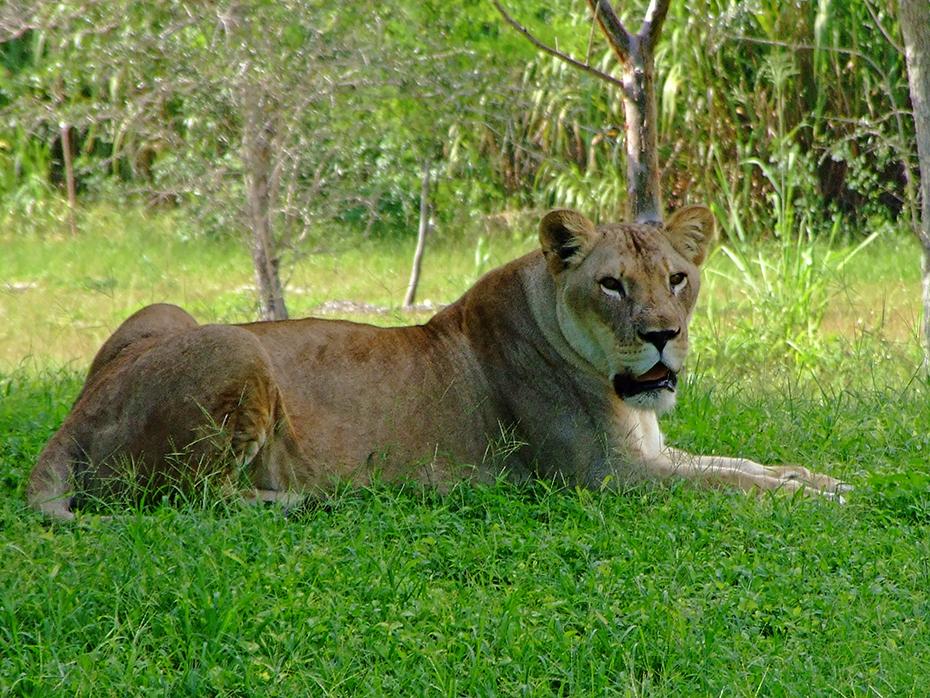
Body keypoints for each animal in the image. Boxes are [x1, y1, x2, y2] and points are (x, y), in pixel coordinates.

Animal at [27, 205, 848, 519]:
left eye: (677, 278)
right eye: (613, 284)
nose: (662, 335)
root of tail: (76, 414)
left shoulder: (649, 453)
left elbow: (743, 466)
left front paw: (822, 479)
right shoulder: (604, 479)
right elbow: (728, 486)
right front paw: (816, 500)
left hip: (164, 313)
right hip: (236, 344)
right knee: (189, 498)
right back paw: (306, 499)